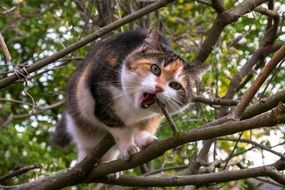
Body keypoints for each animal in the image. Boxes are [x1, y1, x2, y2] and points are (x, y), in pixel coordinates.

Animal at [52, 27, 204, 165]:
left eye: (175, 85)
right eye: (155, 69)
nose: (159, 88)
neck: (133, 107)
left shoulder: (157, 113)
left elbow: (145, 124)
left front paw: (145, 139)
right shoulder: (102, 99)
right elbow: (120, 129)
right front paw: (128, 148)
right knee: (85, 141)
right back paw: (84, 158)